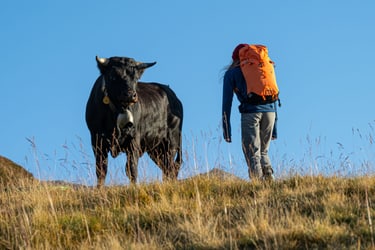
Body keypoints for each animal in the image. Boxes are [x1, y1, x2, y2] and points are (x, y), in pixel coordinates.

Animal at [85, 55, 185, 187]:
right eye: (112, 76)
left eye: (136, 78)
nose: (130, 95)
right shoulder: (97, 141)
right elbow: (101, 169)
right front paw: (99, 188)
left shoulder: (134, 140)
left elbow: (131, 168)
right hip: (155, 149)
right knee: (166, 167)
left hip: (172, 140)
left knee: (170, 167)